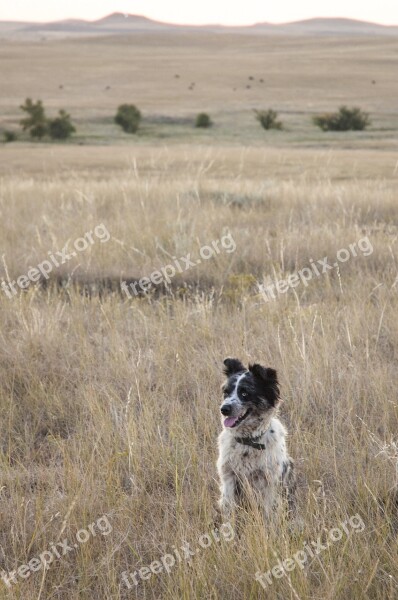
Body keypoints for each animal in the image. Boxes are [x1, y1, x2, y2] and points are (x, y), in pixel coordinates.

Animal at [216, 356, 294, 520]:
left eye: (245, 393)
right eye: (226, 392)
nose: (224, 409)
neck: (248, 442)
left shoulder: (269, 482)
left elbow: (269, 513)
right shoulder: (229, 477)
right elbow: (229, 512)